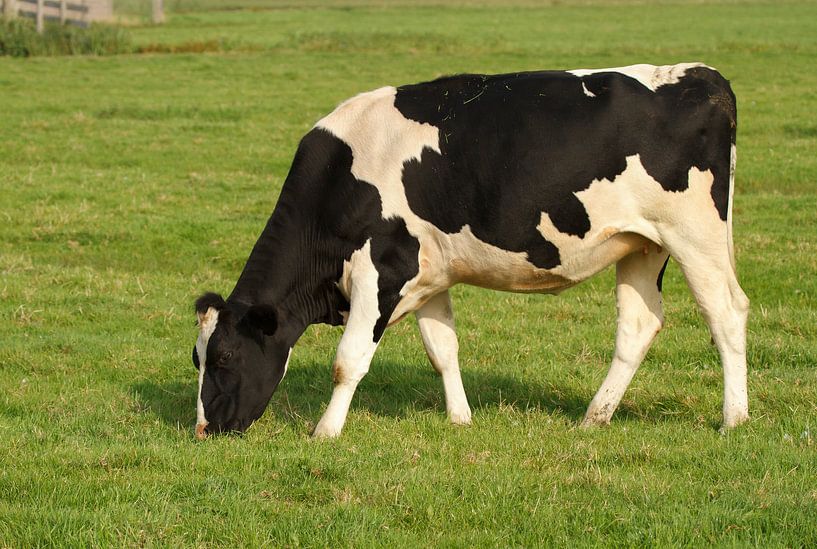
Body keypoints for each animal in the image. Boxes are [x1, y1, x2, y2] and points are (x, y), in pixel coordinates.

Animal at [191, 63, 749, 440]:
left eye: (223, 356)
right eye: (195, 358)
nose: (204, 429)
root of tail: (702, 76)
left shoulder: (382, 269)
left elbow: (348, 361)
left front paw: (325, 432)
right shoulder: (428, 274)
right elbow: (443, 350)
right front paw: (460, 418)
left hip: (695, 237)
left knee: (726, 313)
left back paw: (734, 419)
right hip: (643, 245)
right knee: (638, 325)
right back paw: (595, 417)